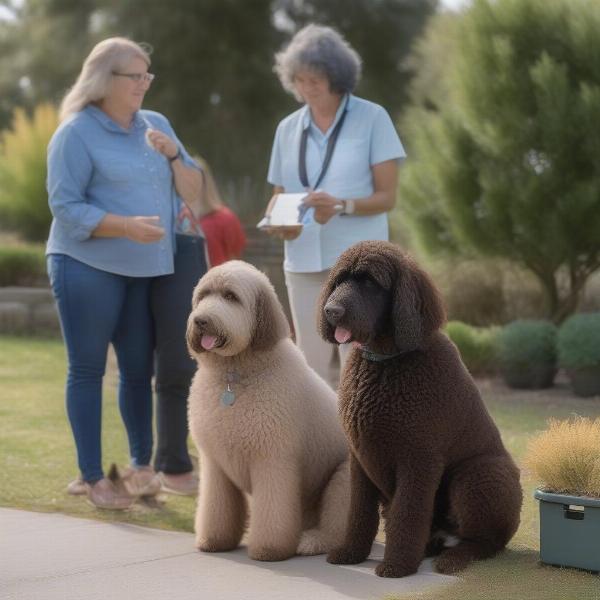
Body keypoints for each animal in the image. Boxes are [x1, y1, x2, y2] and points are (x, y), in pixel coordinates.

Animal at [186, 260, 346, 560]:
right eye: (203, 296)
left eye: (230, 297)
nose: (200, 320)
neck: (234, 377)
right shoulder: (215, 464)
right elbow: (216, 507)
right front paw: (214, 540)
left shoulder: (272, 459)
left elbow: (273, 511)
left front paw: (269, 549)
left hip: (342, 481)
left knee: (337, 530)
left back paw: (311, 542)